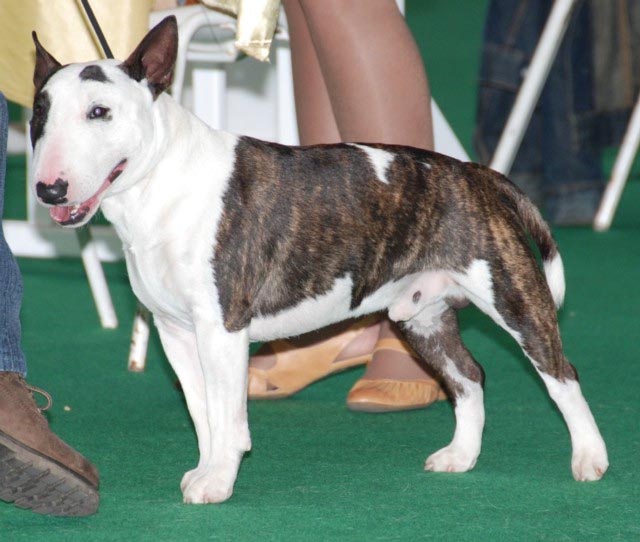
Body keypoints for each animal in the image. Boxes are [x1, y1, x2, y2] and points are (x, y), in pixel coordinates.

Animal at [30, 17, 608, 504]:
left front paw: (218, 482)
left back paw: (590, 459)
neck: (158, 186)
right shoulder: (175, 331)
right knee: (469, 377)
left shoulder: (222, 329)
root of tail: (475, 173)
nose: (48, 189)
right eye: (39, 114)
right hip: (421, 314)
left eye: (99, 112)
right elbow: (201, 411)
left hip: (512, 298)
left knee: (562, 374)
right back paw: (459, 457)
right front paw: (205, 471)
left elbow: (226, 416)